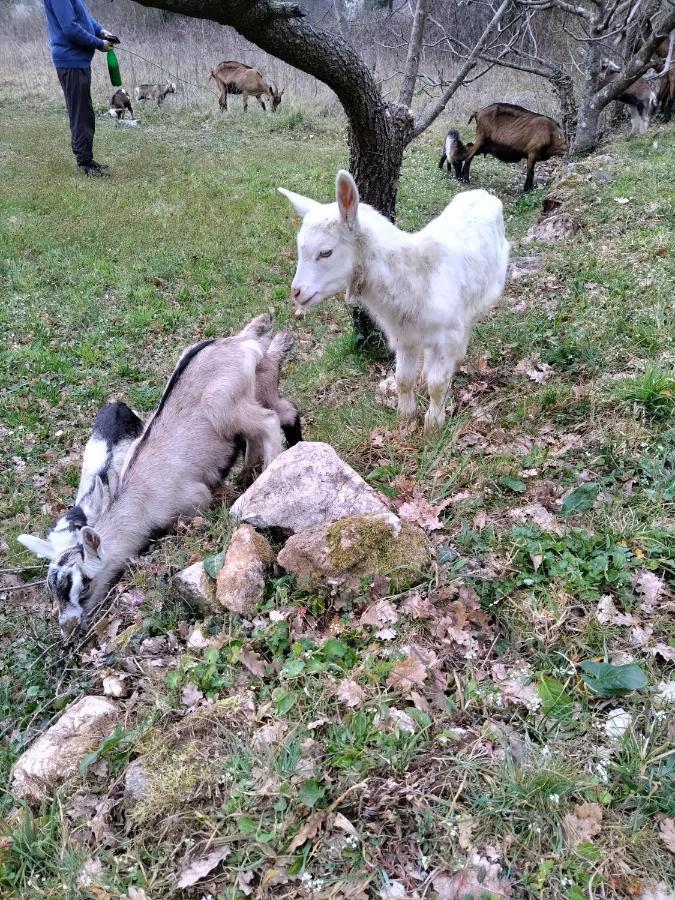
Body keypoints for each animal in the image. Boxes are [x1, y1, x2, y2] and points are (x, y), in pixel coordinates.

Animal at [46, 318, 286, 640]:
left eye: (83, 584)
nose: (69, 630)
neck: (140, 498)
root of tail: (240, 340)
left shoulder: (194, 500)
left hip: (226, 408)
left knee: (269, 422)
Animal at [278, 173, 508, 436]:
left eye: (326, 252)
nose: (296, 292)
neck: (414, 275)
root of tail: (484, 193)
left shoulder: (447, 332)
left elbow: (438, 384)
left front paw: (433, 425)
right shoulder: (404, 335)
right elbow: (403, 379)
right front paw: (406, 419)